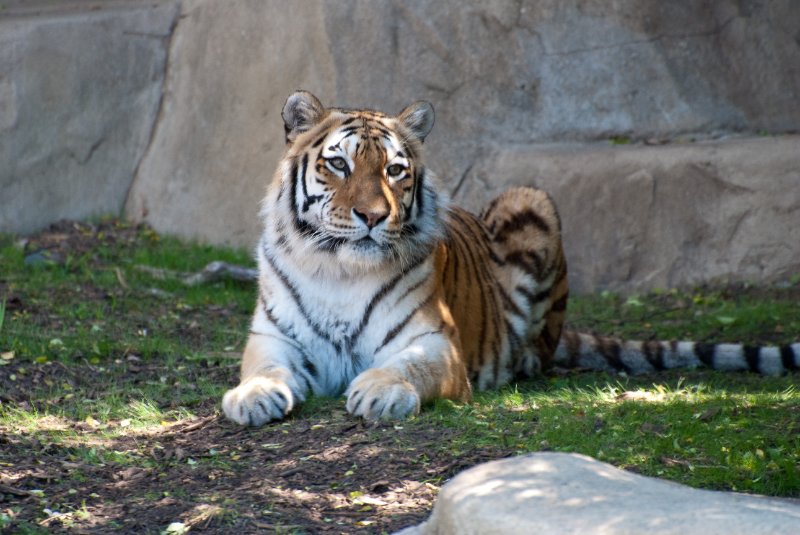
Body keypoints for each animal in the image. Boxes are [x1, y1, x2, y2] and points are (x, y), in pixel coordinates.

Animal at [222, 91, 800, 426]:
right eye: (338, 164)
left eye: (394, 170)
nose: (372, 216)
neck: (340, 268)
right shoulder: (273, 336)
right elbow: (263, 368)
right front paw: (251, 397)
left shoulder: (435, 341)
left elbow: (408, 367)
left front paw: (381, 393)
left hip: (531, 202)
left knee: (540, 348)